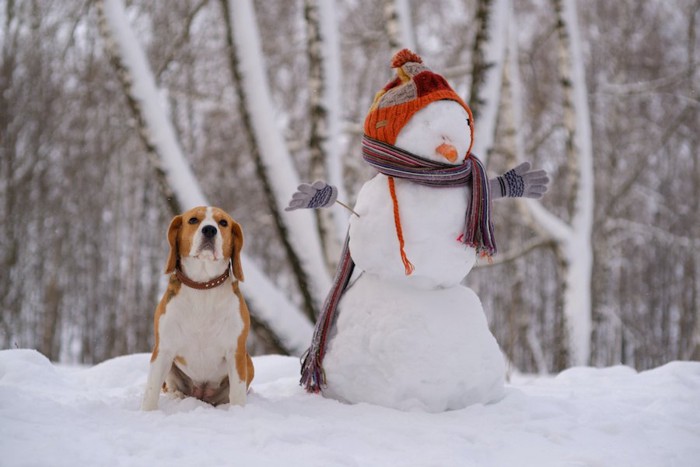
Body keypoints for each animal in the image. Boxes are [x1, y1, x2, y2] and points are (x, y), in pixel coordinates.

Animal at [141, 207, 253, 412]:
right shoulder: (163, 349)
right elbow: (151, 390)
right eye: (193, 220)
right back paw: (176, 396)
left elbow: (238, 393)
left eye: (223, 223)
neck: (203, 286)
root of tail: (201, 395)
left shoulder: (236, 352)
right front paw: (147, 413)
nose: (209, 230)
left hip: (248, 360)